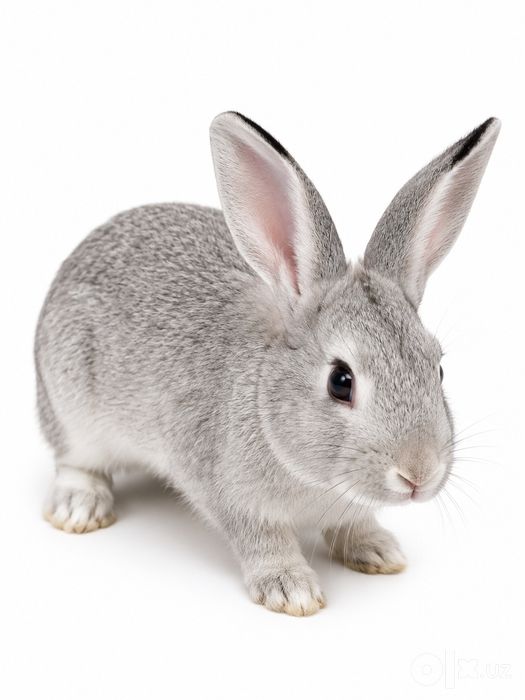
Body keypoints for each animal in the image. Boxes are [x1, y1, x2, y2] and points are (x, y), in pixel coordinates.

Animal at [35, 111, 500, 615]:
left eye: (438, 369)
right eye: (341, 381)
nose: (419, 474)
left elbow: (352, 526)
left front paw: (378, 551)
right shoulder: (235, 496)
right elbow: (263, 541)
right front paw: (291, 589)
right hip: (71, 404)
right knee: (76, 460)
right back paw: (80, 508)